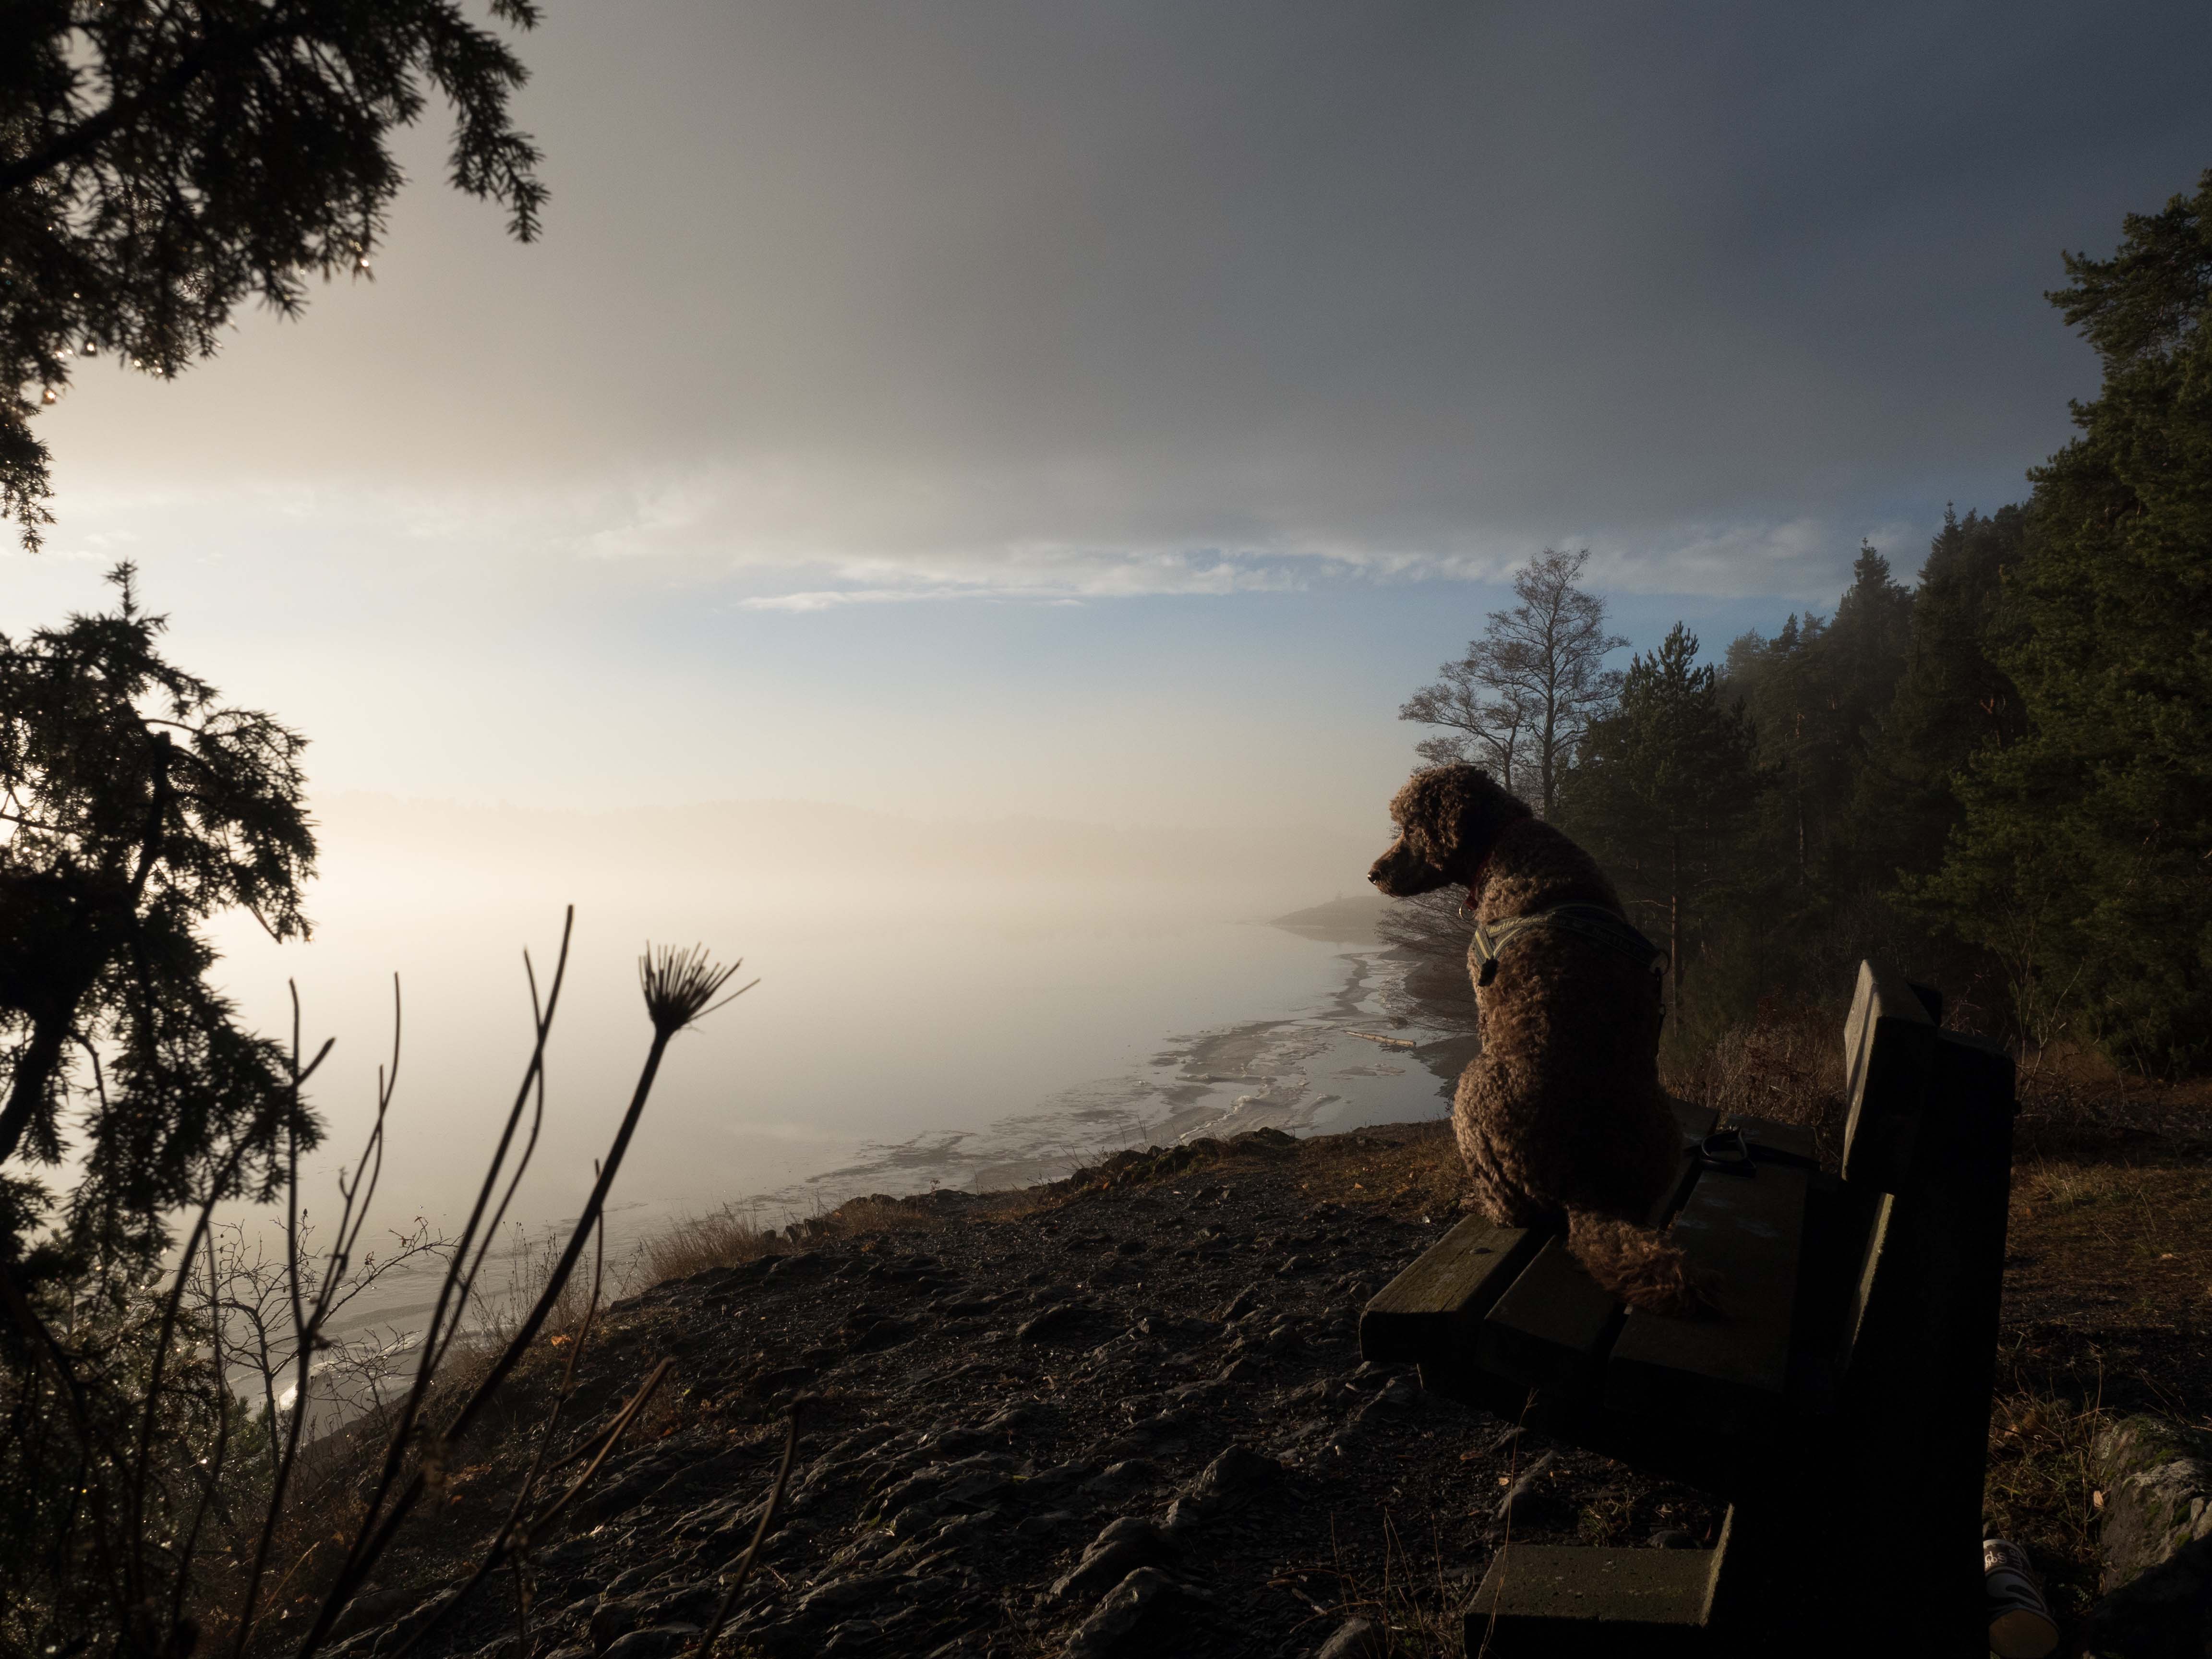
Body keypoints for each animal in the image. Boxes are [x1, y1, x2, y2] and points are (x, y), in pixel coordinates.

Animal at [1354, 761, 1698, 1318]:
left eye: (1409, 827)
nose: (1372, 873)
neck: (1508, 844)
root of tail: (1589, 1189)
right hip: (1666, 1122)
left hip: (1472, 1094)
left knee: (1512, 1209)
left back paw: (1481, 1203)